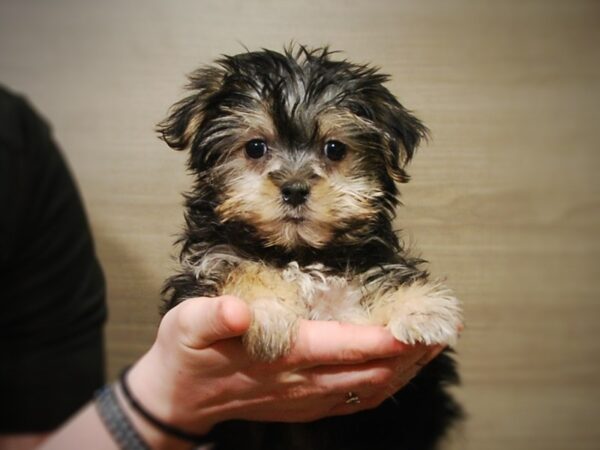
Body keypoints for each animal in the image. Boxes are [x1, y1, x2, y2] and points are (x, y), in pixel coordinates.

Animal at [157, 46, 462, 450]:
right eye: (255, 147)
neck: (300, 253)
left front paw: (420, 308)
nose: (295, 189)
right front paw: (265, 311)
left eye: (334, 149)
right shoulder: (207, 265)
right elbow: (239, 267)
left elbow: (384, 278)